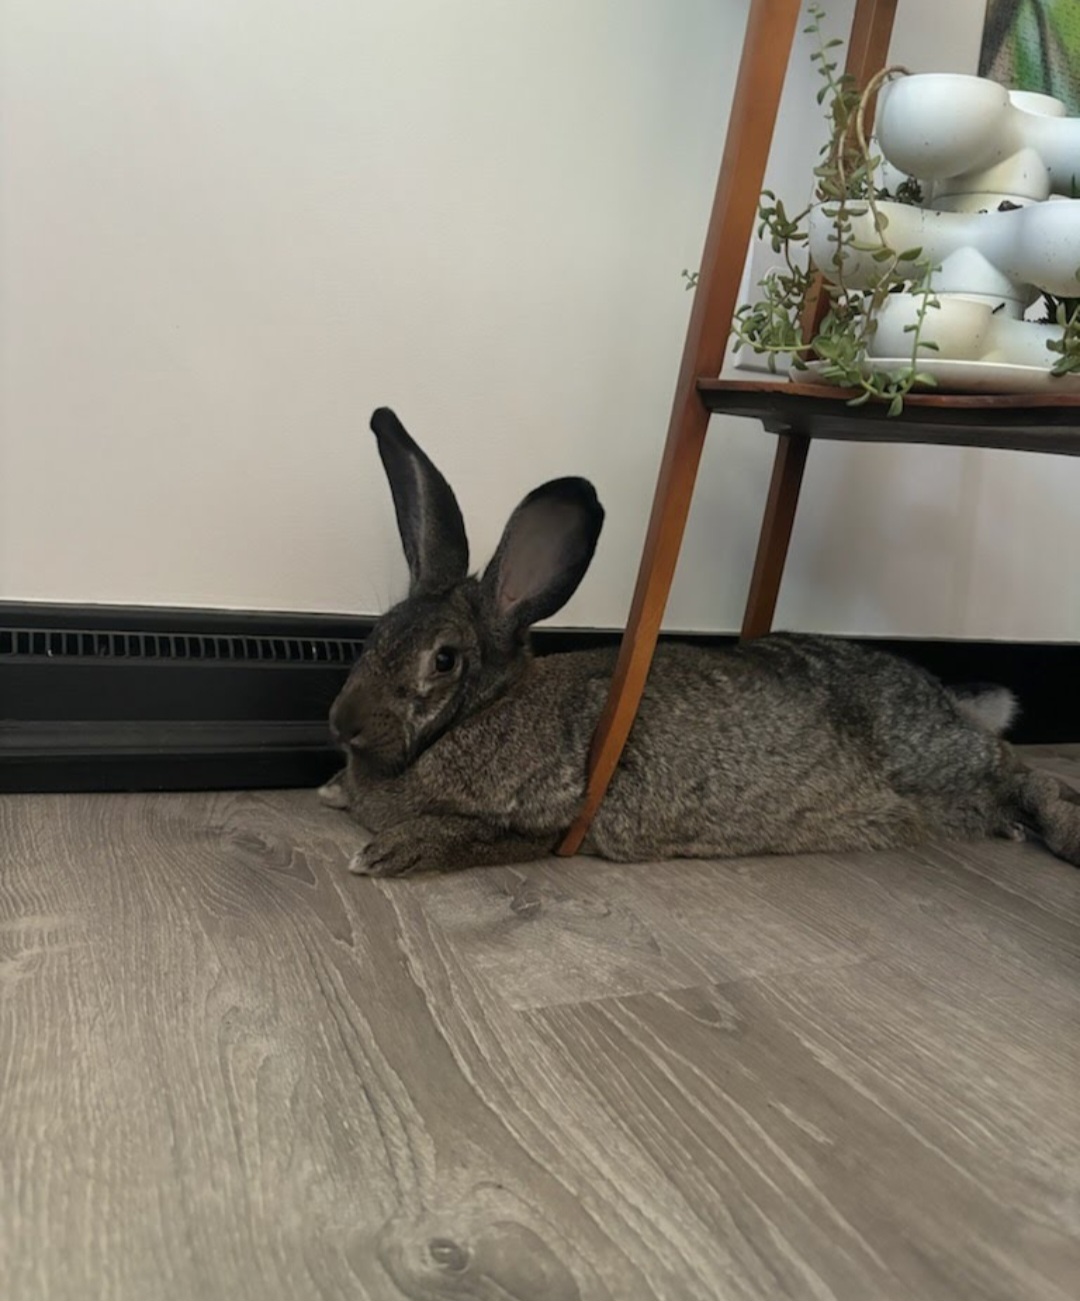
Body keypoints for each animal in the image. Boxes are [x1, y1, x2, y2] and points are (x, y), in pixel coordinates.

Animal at [322, 407, 1080, 878]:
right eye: (376, 632)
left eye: (444, 659)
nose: (341, 722)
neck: (479, 712)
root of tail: (947, 698)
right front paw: (334, 793)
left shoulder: (545, 818)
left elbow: (470, 837)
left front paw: (385, 854)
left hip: (933, 757)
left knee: (1030, 775)